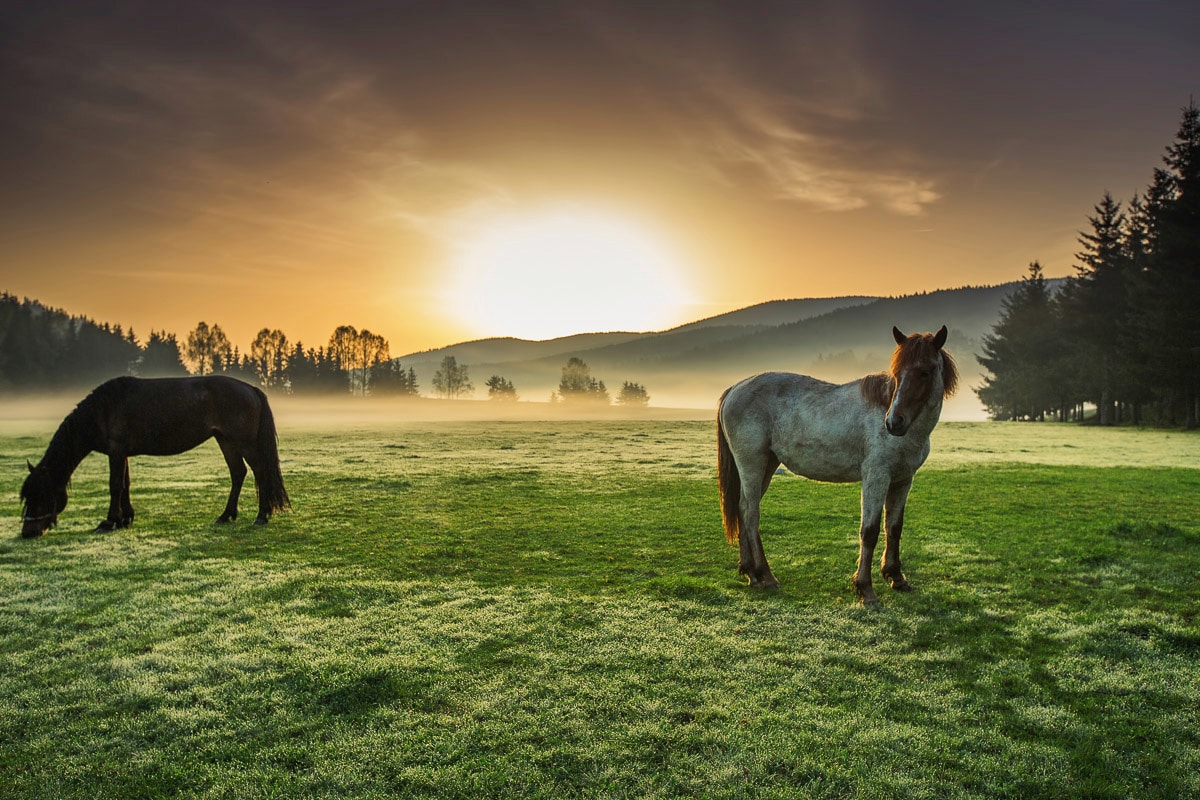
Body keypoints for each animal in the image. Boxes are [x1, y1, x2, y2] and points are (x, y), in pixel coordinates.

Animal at [19, 375, 289, 538]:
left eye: (41, 496)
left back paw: (262, 515)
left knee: (260, 472)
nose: (28, 532)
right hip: (225, 440)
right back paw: (226, 515)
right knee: (238, 473)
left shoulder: (116, 451)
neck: (103, 409)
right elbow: (125, 484)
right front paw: (125, 518)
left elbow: (115, 485)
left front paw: (109, 522)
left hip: (242, 442)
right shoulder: (121, 453)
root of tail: (250, 388)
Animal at [717, 326, 957, 604]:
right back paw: (766, 575)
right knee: (751, 513)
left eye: (925, 372)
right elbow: (870, 531)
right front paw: (865, 588)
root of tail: (735, 388)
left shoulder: (902, 480)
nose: (894, 422)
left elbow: (894, 528)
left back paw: (750, 572)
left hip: (766, 465)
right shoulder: (876, 477)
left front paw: (896, 577)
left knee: (743, 507)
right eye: (897, 373)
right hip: (752, 464)